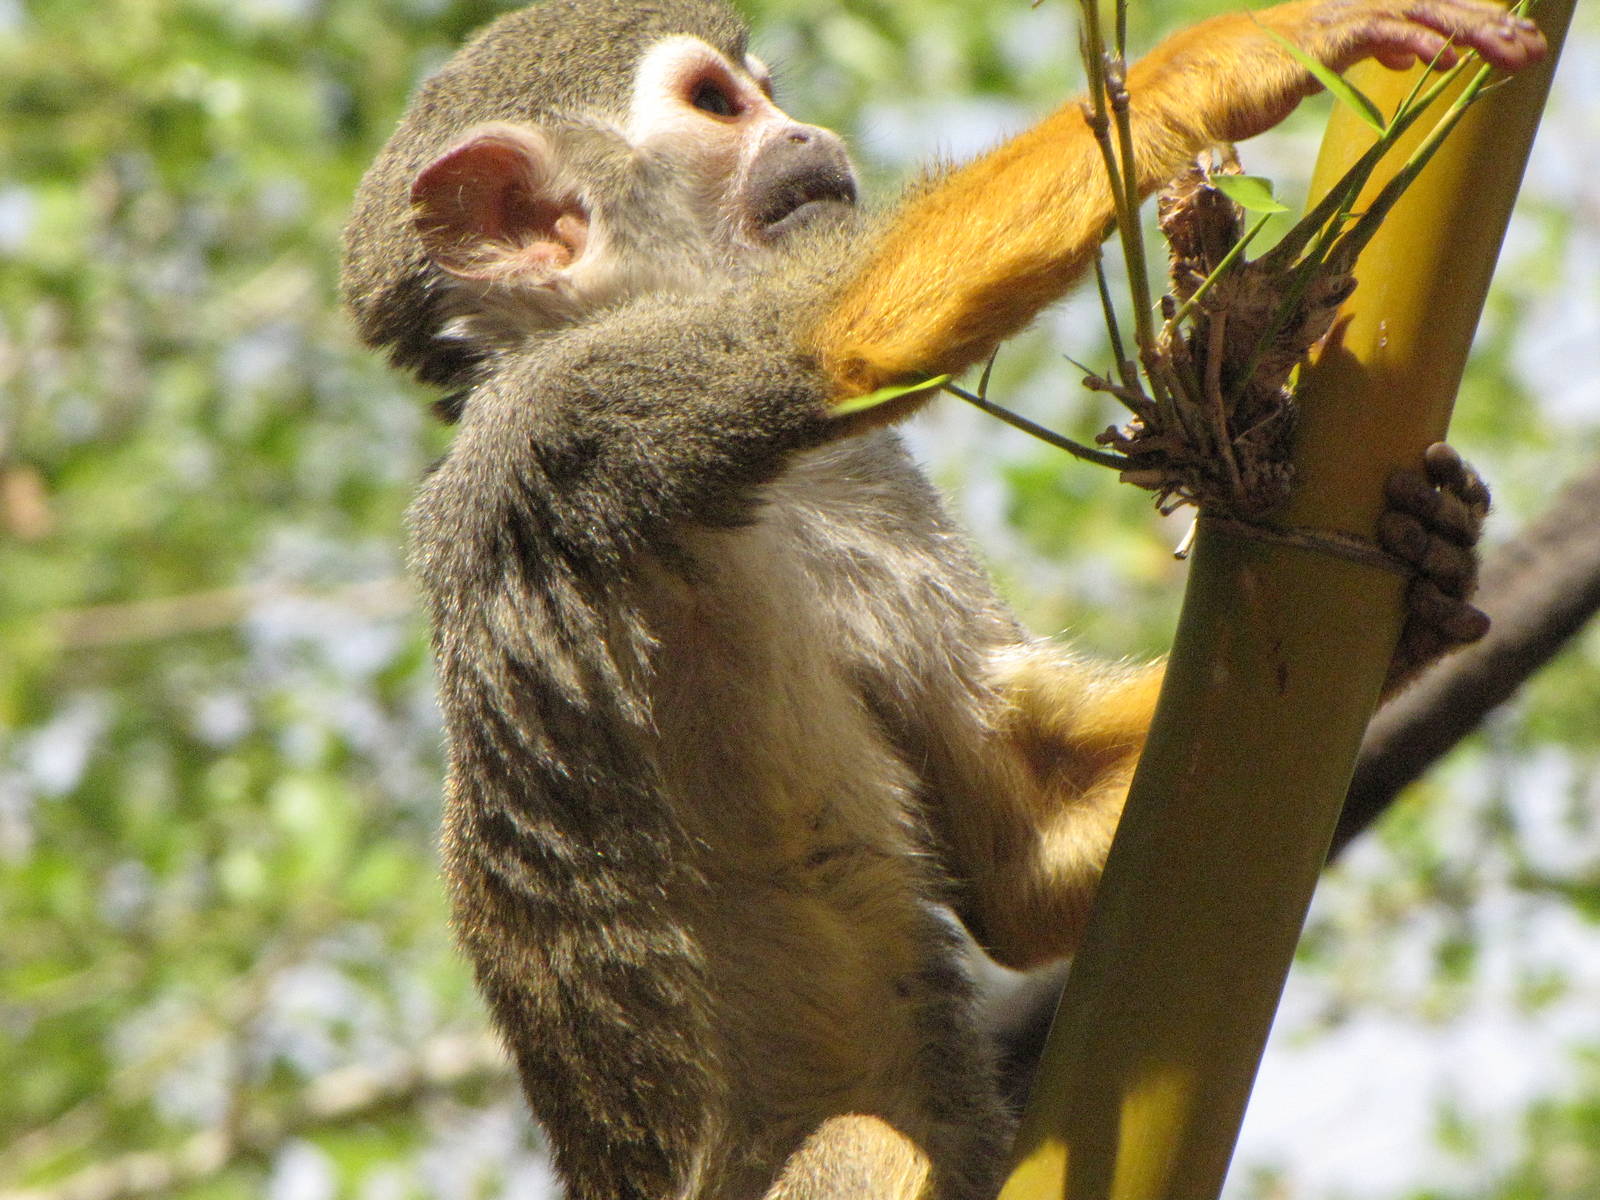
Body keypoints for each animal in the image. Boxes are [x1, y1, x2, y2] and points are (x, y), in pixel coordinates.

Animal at [339, 2, 1543, 1197]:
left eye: (764, 91)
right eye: (719, 106)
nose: (806, 134)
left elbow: (1022, 853)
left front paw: (1430, 574)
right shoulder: (570, 406)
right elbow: (834, 336)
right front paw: (1216, 59)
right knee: (863, 1145)